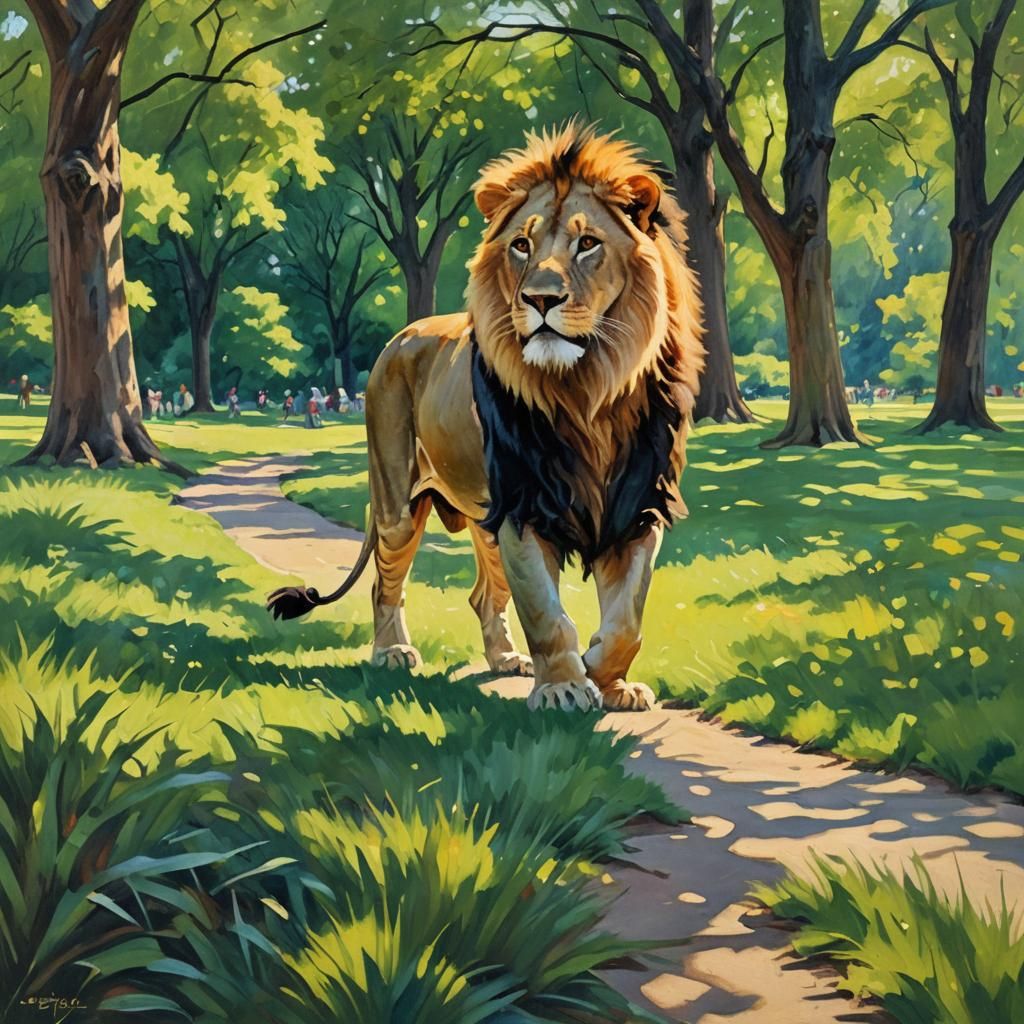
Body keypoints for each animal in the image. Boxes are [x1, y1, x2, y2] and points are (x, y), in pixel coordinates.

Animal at [268, 123, 705, 712]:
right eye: (522, 245)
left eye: (588, 243)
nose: (540, 299)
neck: (588, 392)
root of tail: (401, 337)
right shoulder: (523, 505)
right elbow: (545, 609)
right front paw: (565, 685)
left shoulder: (637, 508)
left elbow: (627, 618)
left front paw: (608, 679)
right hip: (398, 502)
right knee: (386, 582)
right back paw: (392, 654)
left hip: (484, 519)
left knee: (482, 595)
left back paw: (505, 659)